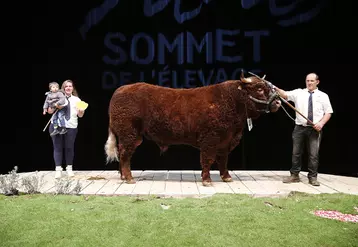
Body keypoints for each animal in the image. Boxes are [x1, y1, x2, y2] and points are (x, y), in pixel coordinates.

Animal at [105, 71, 282, 185]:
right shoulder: (210, 139)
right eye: (259, 89)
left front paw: (226, 177)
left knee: (122, 154)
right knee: (125, 155)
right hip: (130, 134)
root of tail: (120, 89)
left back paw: (123, 177)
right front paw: (207, 180)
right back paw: (129, 178)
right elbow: (208, 159)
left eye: (269, 88)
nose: (278, 102)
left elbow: (223, 160)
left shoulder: (225, 141)